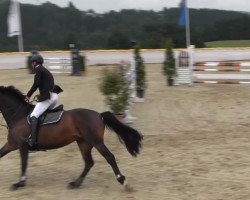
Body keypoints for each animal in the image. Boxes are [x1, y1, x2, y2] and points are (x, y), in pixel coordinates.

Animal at [0, 85, 143, 191]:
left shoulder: (21, 144)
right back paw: (76, 183)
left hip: (96, 142)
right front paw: (20, 183)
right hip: (84, 143)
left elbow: (23, 163)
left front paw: (19, 183)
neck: (18, 115)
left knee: (109, 157)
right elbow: (2, 155)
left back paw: (123, 181)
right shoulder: (11, 144)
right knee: (89, 163)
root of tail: (99, 115)